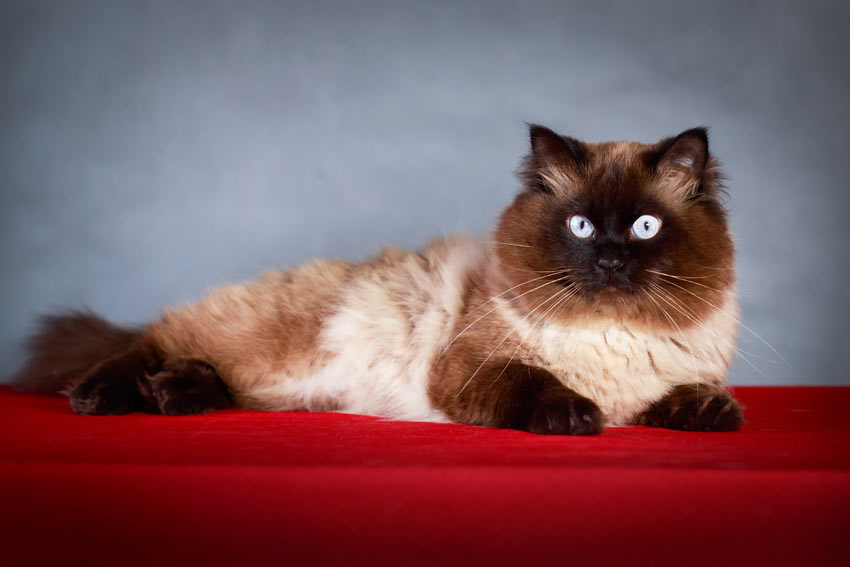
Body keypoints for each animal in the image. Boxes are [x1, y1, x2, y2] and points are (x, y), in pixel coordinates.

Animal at [13, 124, 744, 434]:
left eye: (645, 227)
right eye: (582, 227)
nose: (611, 260)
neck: (607, 339)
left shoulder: (661, 383)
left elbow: (686, 397)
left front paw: (714, 415)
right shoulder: (475, 368)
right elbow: (538, 384)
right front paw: (577, 416)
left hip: (263, 383)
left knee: (200, 373)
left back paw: (175, 396)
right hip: (260, 338)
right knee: (149, 340)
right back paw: (100, 397)